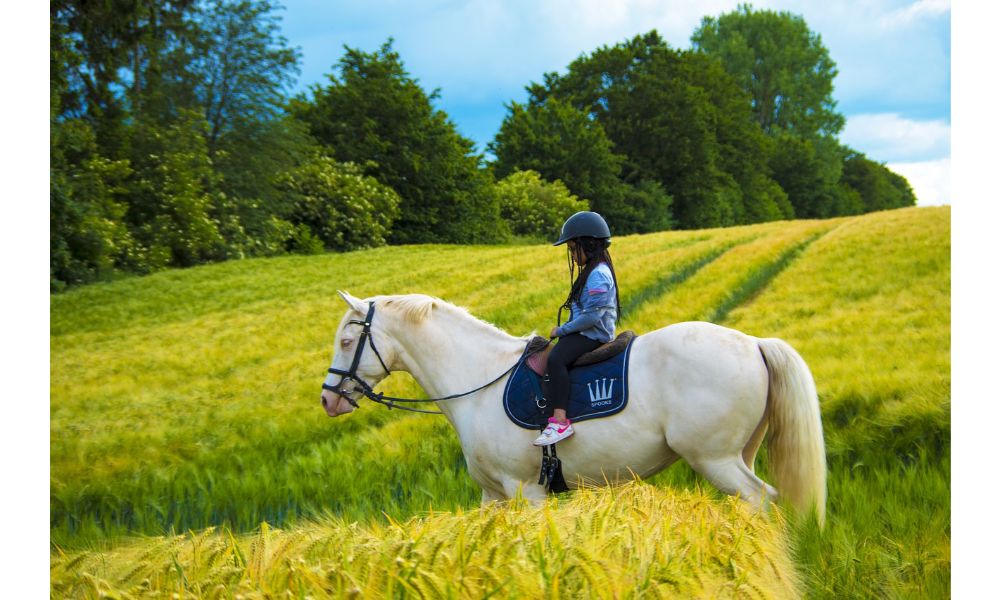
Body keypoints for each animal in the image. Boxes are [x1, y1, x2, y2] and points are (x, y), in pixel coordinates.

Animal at [320, 292, 828, 524]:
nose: (328, 399)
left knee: (760, 498)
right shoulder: (493, 496)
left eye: (346, 341)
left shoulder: (525, 491)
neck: (479, 380)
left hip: (715, 459)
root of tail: (755, 343)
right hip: (739, 453)